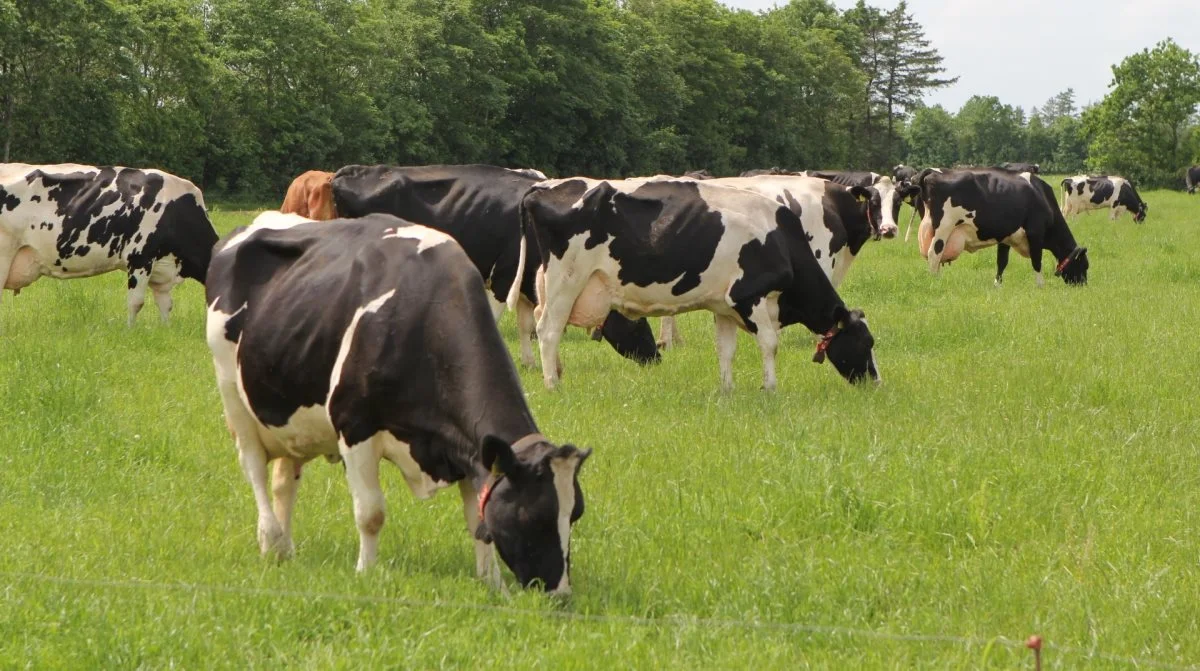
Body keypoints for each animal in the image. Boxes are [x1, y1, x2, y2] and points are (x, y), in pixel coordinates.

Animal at [0, 165, 218, 328]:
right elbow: (136, 302)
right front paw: (130, 331)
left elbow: (166, 305)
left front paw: (165, 330)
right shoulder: (139, 257)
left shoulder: (163, 268)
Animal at [211, 210, 595, 592]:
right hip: (233, 396)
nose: (561, 594)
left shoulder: (468, 449)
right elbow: (371, 513)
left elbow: (478, 522)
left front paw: (491, 583)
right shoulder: (354, 427)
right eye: (534, 515)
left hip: (290, 414)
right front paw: (366, 572)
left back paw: (286, 549)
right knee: (254, 468)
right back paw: (271, 539)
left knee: (284, 480)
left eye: (576, 512)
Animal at [333, 165, 662, 369]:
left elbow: (526, 323)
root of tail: (350, 171)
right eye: (637, 322)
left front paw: (528, 362)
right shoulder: (504, 278)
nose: (656, 356)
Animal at [511, 177, 878, 393]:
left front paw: (727, 390)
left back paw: (557, 373)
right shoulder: (751, 296)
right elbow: (770, 344)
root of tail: (548, 188)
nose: (876, 382)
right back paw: (551, 384)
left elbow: (725, 350)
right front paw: (770, 389)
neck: (781, 240)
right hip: (566, 280)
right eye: (866, 342)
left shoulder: (725, 306)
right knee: (547, 330)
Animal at [912, 169, 1094, 288]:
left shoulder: (1006, 237)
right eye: (1084, 265)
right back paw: (935, 282)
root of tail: (933, 172)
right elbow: (1037, 261)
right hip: (943, 228)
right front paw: (1041, 285)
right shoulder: (1036, 233)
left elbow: (1002, 262)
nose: (1083, 285)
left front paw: (997, 285)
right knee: (933, 254)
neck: (1041, 196)